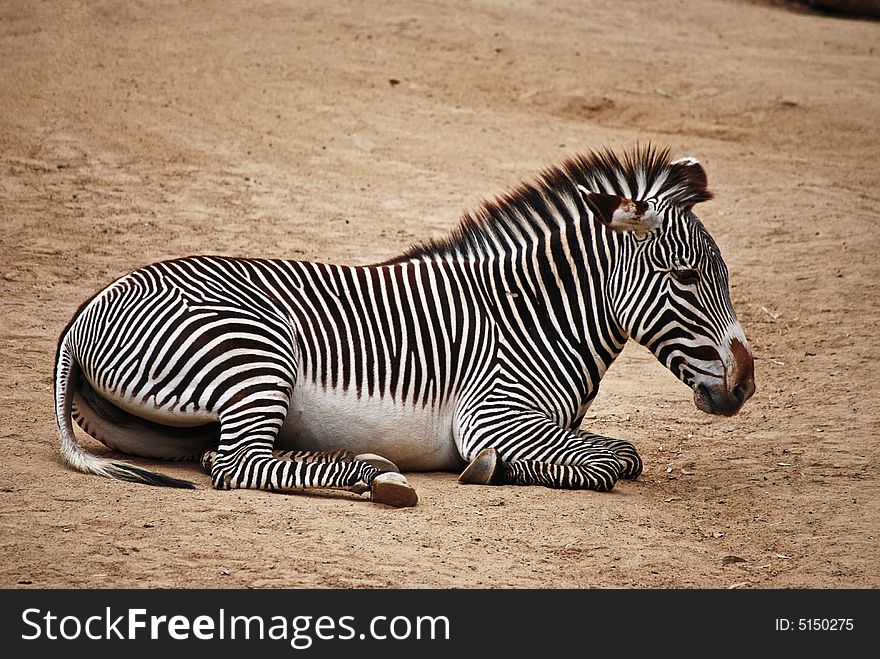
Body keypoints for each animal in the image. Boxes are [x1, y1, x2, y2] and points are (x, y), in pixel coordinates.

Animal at [53, 146, 756, 506]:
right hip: (254, 351)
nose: (746, 384)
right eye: (687, 278)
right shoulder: (493, 417)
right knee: (238, 465)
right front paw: (490, 471)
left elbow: (620, 454)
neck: (538, 312)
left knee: (219, 456)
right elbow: (610, 463)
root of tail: (90, 303)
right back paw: (372, 475)